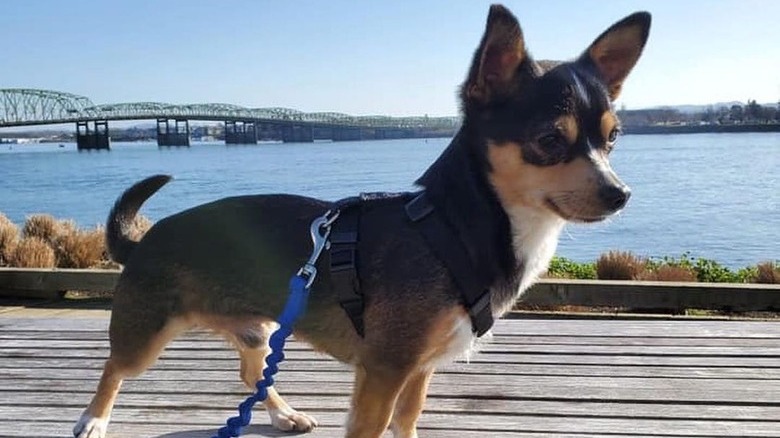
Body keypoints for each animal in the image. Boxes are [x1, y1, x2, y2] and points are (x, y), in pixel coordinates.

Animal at [76, 6, 652, 438]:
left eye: (612, 137)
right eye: (550, 140)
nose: (620, 194)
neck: (458, 227)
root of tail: (145, 239)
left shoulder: (418, 369)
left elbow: (408, 423)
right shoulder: (385, 370)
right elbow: (375, 427)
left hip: (258, 328)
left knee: (249, 370)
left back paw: (283, 414)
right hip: (146, 333)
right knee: (114, 366)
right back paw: (93, 419)